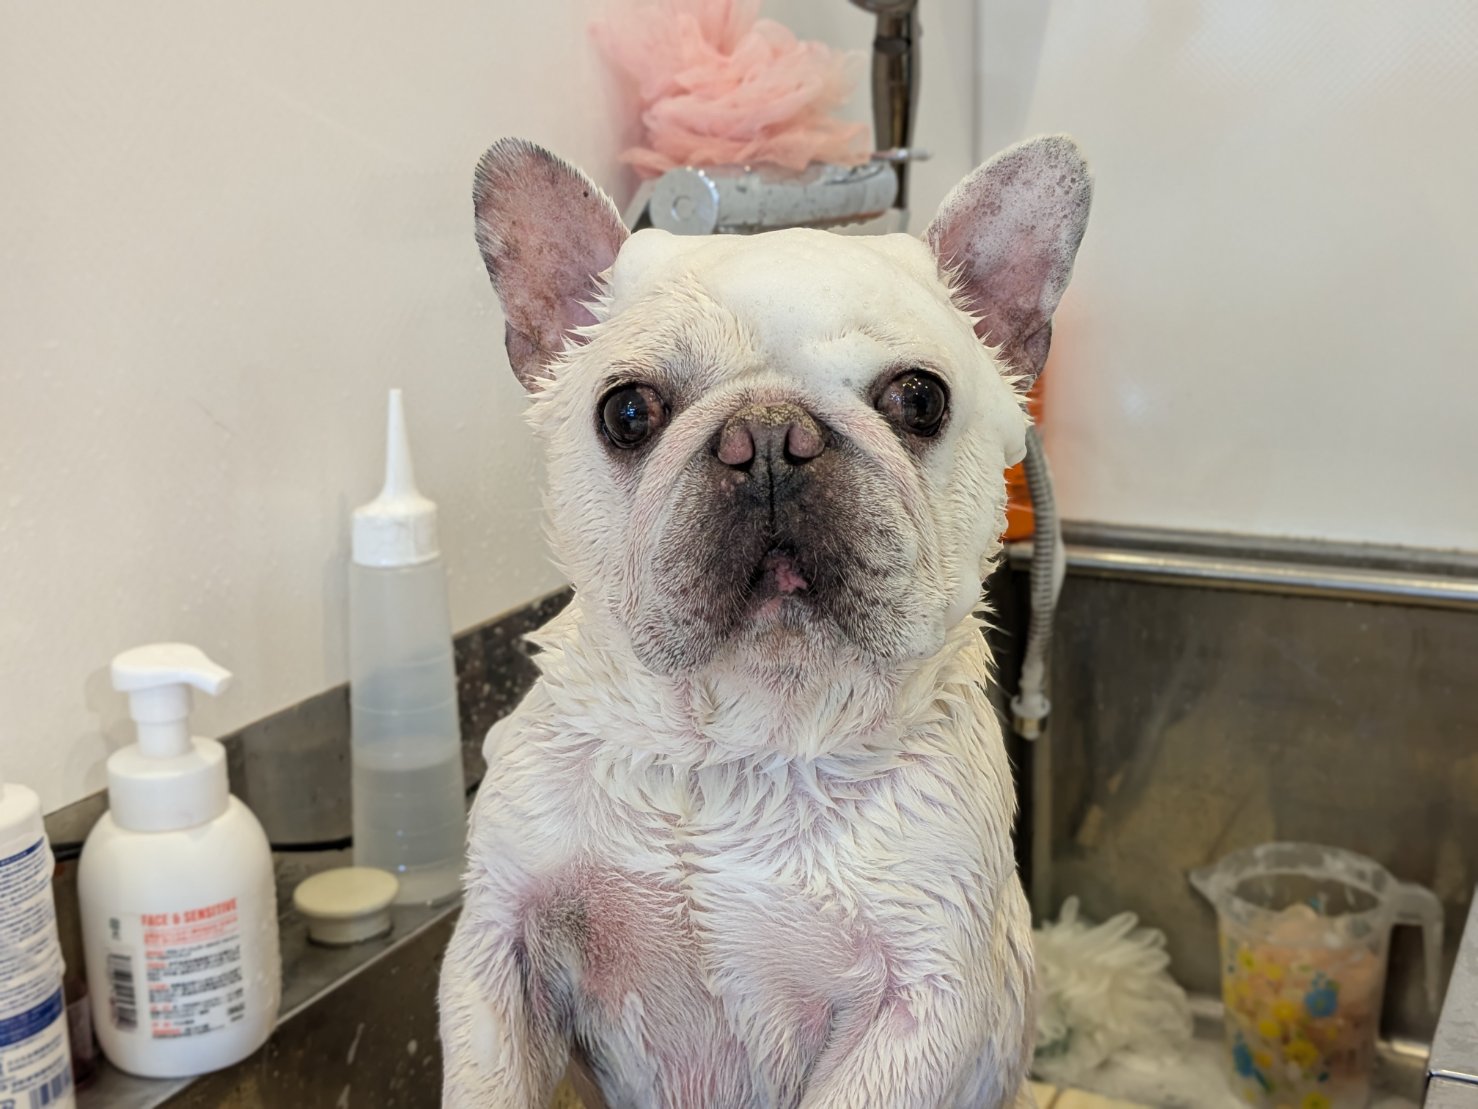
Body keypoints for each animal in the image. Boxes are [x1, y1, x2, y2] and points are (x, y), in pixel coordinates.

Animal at [438, 134, 1092, 1109]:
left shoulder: (923, 1009)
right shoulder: (498, 950)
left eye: (920, 400)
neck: (738, 740)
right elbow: (491, 1075)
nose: (773, 436)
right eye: (627, 411)